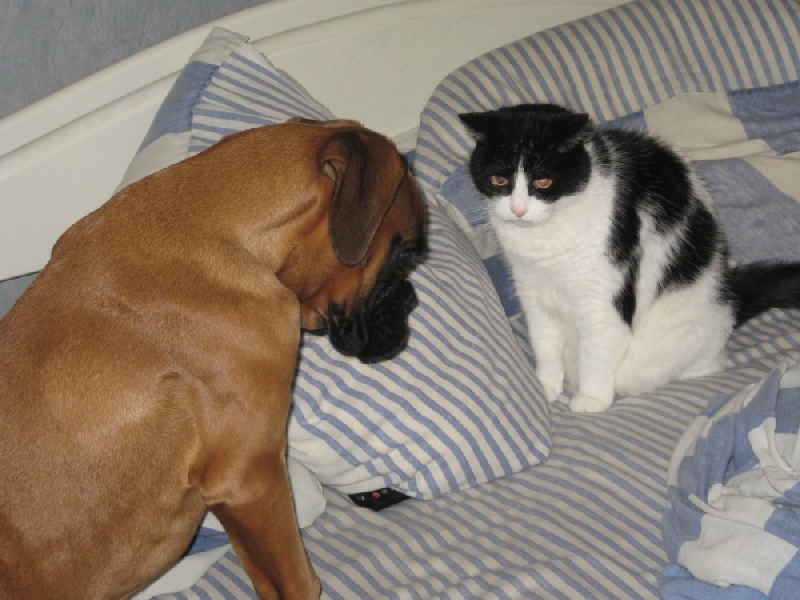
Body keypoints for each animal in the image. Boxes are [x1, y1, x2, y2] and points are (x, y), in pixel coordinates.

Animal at [459, 103, 800, 413]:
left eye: (543, 181)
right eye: (499, 180)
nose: (518, 210)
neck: (545, 237)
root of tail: (731, 297)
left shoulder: (603, 295)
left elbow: (598, 347)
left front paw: (592, 398)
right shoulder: (533, 291)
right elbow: (544, 342)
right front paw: (545, 386)